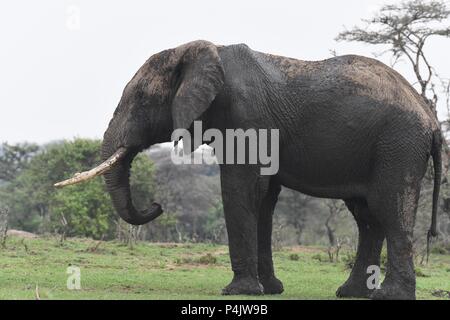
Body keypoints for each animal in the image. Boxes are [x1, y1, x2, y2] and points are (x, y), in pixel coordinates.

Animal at [54, 40, 442, 300]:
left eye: (142, 101)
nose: (156, 205)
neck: (203, 50)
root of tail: (430, 118)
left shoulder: (244, 119)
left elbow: (239, 188)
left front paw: (238, 292)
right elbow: (263, 199)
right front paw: (269, 290)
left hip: (398, 145)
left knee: (389, 209)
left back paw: (389, 295)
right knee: (368, 217)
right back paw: (351, 293)